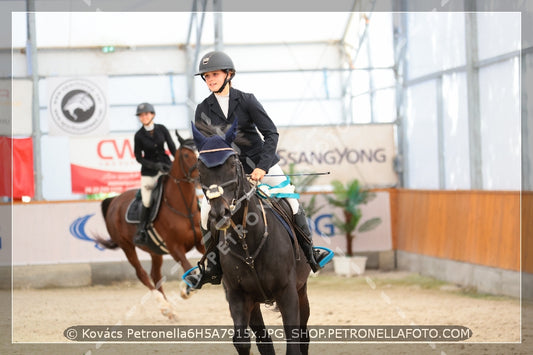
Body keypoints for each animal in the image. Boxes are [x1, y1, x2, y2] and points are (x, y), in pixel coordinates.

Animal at [94, 133, 205, 320]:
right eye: (186, 155)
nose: (200, 176)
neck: (184, 208)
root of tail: (115, 200)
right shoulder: (175, 248)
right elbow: (189, 269)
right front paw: (186, 291)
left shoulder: (201, 242)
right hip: (127, 246)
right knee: (143, 274)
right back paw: (165, 307)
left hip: (155, 251)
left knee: (155, 275)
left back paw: (170, 312)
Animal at [191, 122, 310, 355]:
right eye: (200, 168)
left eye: (232, 163)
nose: (219, 214)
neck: (247, 241)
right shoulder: (237, 295)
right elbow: (242, 341)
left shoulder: (288, 292)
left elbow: (293, 343)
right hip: (254, 303)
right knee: (264, 341)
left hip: (302, 291)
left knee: (303, 337)